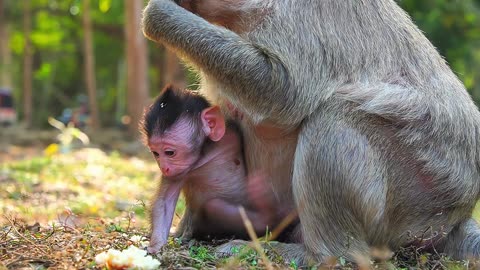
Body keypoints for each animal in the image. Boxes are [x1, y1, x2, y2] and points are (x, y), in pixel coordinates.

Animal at [142, 86, 278, 253]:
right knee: (213, 207)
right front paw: (156, 245)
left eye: (169, 152)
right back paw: (266, 215)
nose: (164, 167)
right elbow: (164, 202)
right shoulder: (179, 172)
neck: (206, 152)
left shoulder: (230, 134)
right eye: (156, 153)